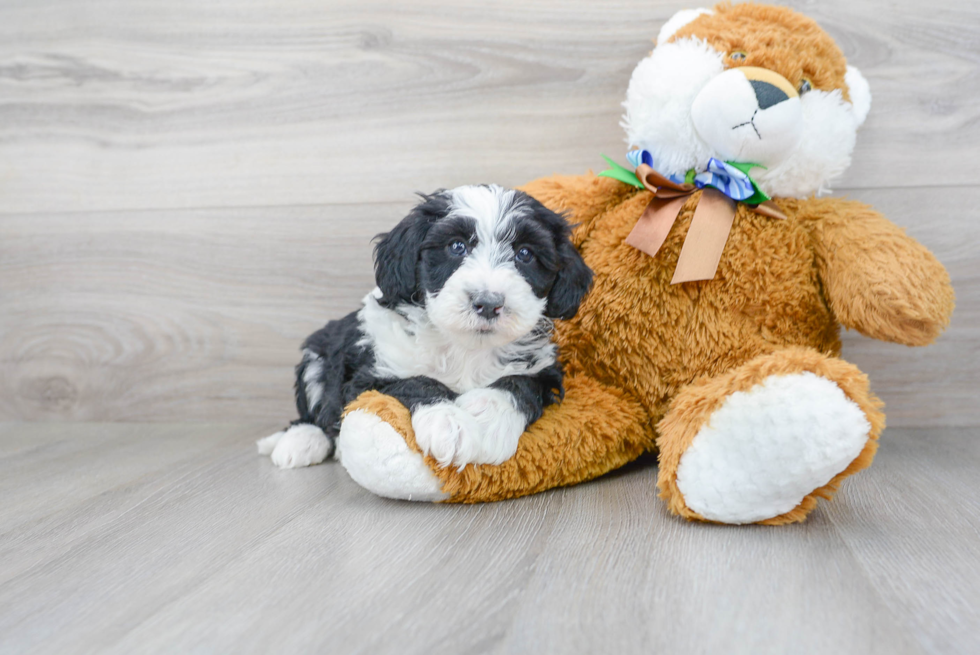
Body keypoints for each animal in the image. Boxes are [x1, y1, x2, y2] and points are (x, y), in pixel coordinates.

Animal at [258, 184, 588, 472]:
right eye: (456, 246)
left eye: (525, 254)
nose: (488, 303)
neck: (464, 346)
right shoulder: (369, 376)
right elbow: (417, 382)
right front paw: (449, 425)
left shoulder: (543, 370)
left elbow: (520, 384)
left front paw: (486, 420)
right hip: (316, 357)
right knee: (313, 412)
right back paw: (300, 441)